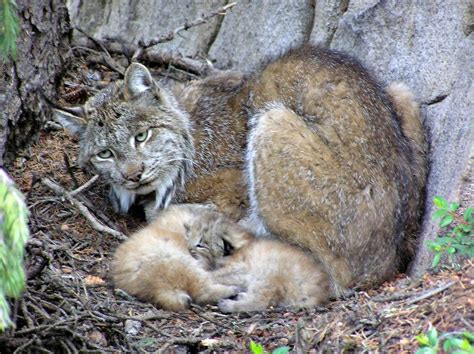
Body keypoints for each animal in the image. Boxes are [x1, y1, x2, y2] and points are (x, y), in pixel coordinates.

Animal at [53, 45, 428, 298]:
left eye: (142, 136)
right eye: (104, 154)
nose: (133, 175)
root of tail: (387, 262)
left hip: (272, 119)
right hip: (400, 91)